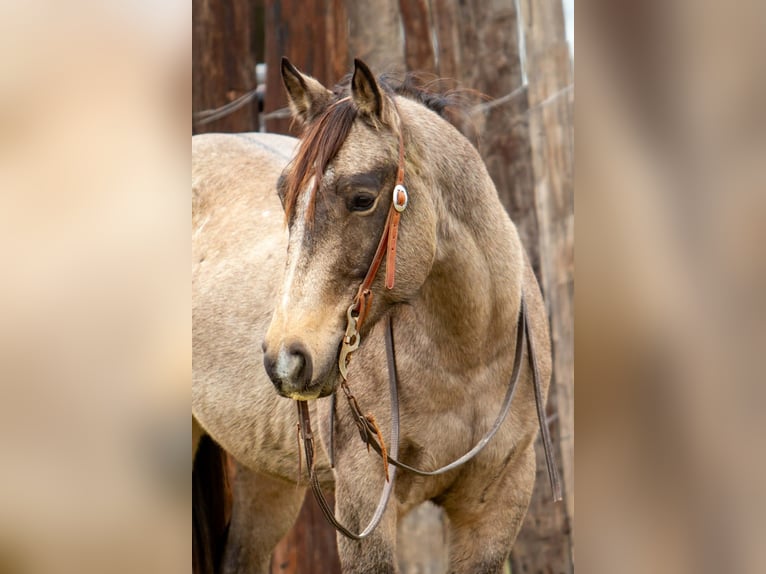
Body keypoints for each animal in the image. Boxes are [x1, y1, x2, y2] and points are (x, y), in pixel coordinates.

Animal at [192, 58, 554, 574]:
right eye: (284, 197)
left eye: (362, 198)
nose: (285, 360)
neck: (468, 357)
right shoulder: (366, 502)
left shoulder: (496, 506)